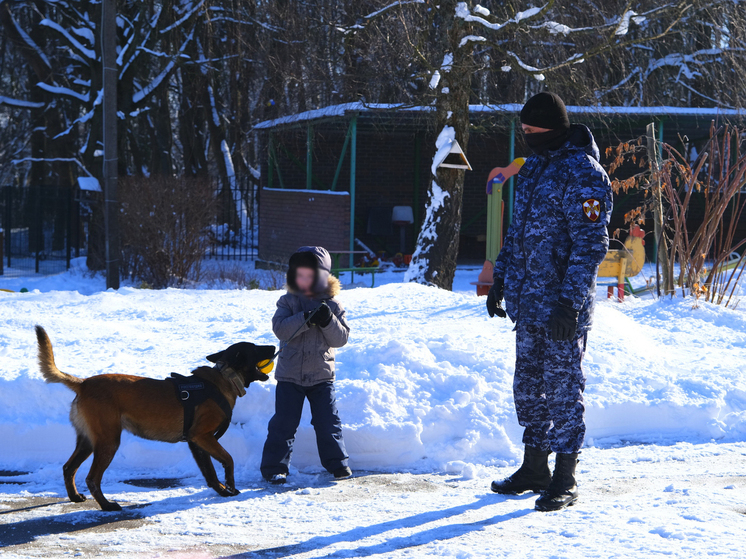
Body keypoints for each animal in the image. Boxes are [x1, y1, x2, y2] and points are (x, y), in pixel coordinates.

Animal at [35, 324, 274, 512]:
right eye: (255, 348)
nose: (273, 347)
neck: (225, 378)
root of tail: (83, 383)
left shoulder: (197, 443)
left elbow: (210, 473)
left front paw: (222, 491)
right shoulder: (203, 437)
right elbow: (228, 460)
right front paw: (231, 488)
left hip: (87, 442)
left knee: (69, 468)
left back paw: (75, 497)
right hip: (108, 442)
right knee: (92, 478)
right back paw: (107, 505)